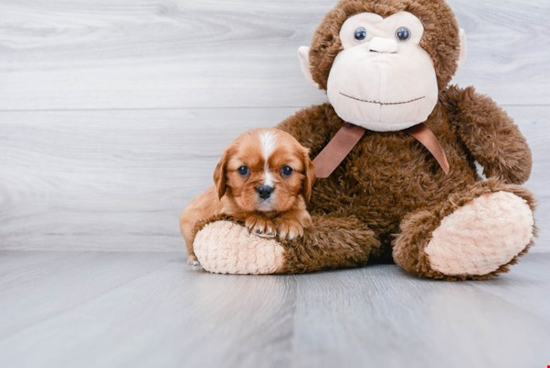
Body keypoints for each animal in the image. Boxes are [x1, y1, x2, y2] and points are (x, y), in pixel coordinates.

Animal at [181, 127, 316, 264]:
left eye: (287, 170)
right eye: (243, 169)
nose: (264, 190)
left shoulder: (302, 210)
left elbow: (297, 212)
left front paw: (289, 224)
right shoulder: (228, 209)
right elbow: (242, 210)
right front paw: (261, 222)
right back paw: (193, 259)